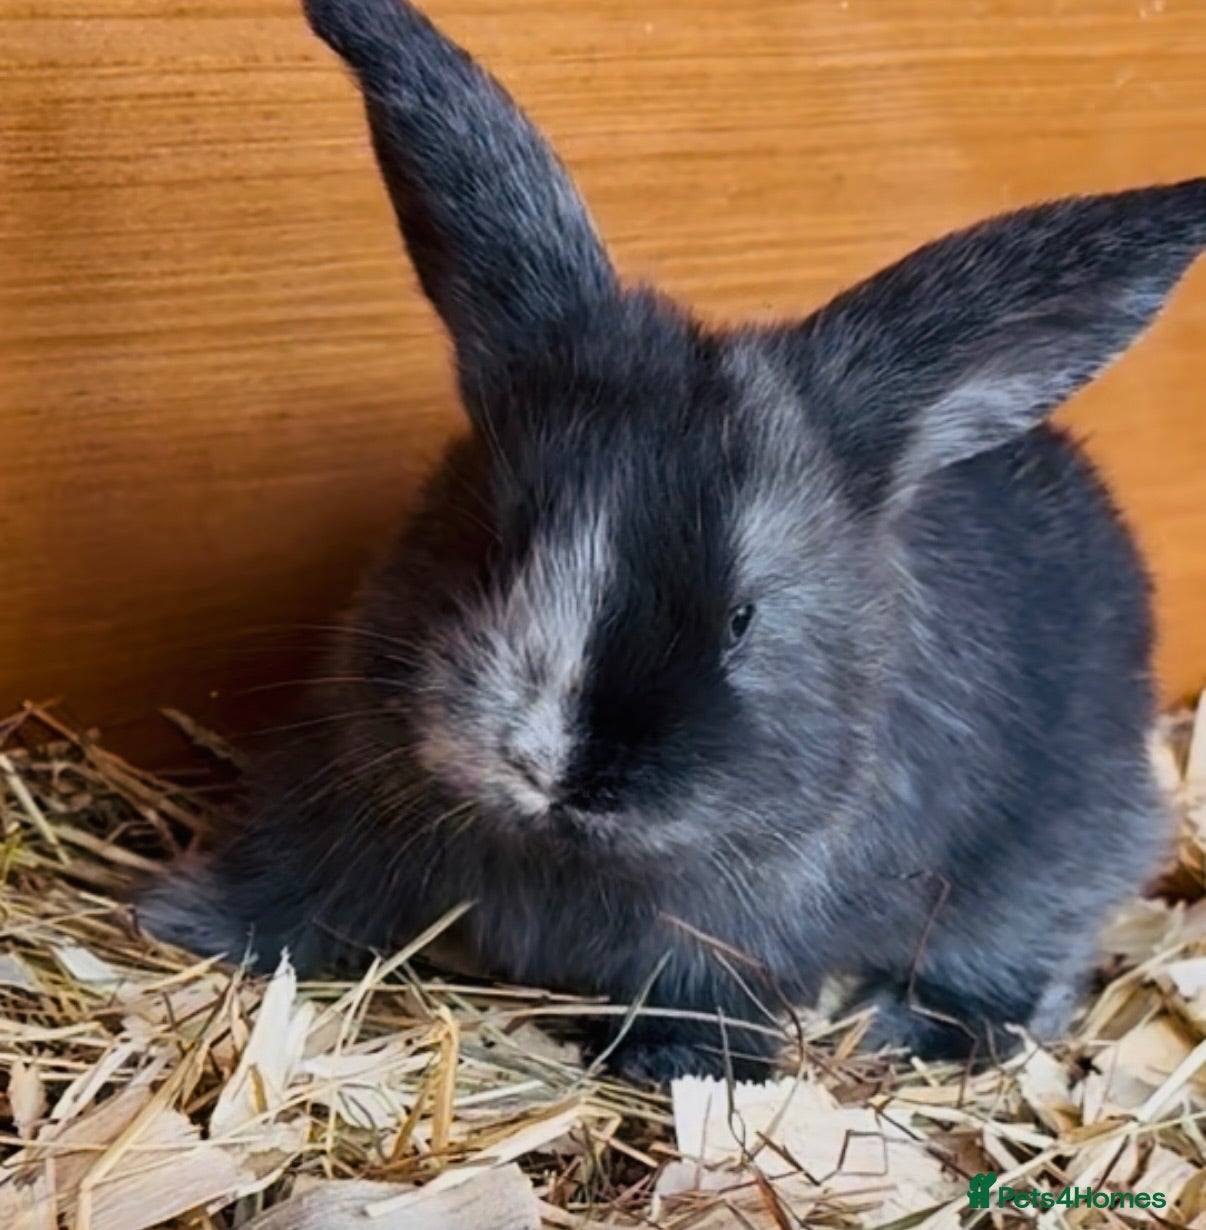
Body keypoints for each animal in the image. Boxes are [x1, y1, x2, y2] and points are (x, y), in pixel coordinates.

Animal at [135, 0, 1206, 1083]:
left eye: (743, 618)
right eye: (493, 542)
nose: (560, 768)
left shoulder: (733, 938)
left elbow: (706, 1000)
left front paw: (681, 1070)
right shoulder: (336, 803)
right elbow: (288, 888)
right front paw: (185, 927)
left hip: (1055, 862)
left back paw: (909, 1027)